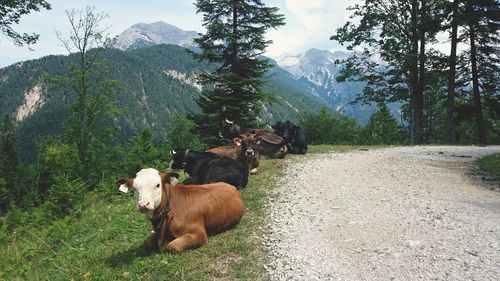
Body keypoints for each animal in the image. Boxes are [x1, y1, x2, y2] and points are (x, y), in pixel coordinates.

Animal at [115, 168, 244, 252]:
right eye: (134, 188)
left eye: (157, 185)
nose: (143, 204)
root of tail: (230, 186)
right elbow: (146, 243)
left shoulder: (199, 234)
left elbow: (171, 246)